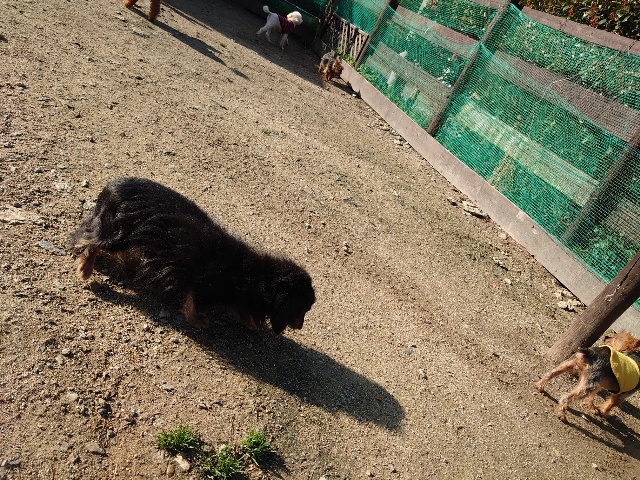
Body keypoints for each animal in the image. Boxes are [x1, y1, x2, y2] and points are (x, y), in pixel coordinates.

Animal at [69, 177, 315, 334]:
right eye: (302, 309)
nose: (301, 326)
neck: (253, 276)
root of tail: (111, 187)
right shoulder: (198, 280)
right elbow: (191, 301)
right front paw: (198, 319)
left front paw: (250, 322)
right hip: (120, 232)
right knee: (91, 240)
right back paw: (86, 268)